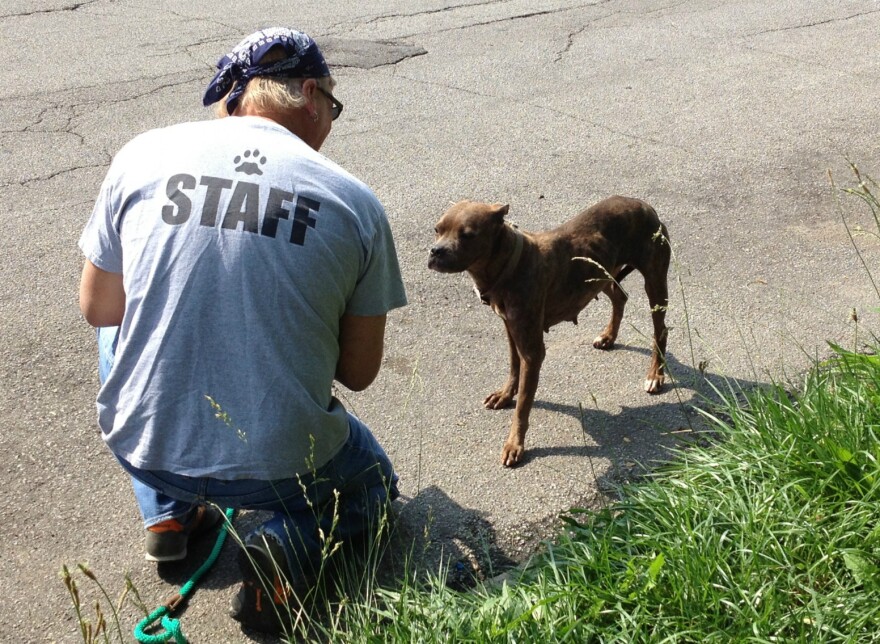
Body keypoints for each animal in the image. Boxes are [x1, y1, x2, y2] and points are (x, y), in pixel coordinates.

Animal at [430, 196, 672, 468]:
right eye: (437, 230)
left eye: (468, 235)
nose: (436, 251)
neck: (508, 264)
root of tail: (644, 205)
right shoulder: (512, 330)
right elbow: (513, 366)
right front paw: (505, 394)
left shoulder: (533, 351)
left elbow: (523, 407)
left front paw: (515, 444)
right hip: (599, 276)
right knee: (619, 296)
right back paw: (609, 336)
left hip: (654, 281)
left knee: (660, 330)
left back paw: (655, 374)